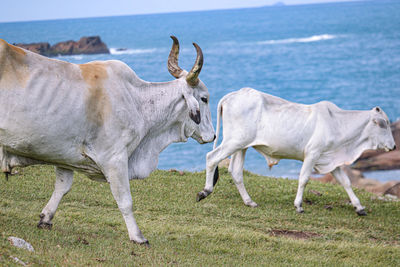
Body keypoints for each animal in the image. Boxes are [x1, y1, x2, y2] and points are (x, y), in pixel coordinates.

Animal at [0, 36, 216, 246]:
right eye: (204, 98)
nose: (213, 136)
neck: (137, 102)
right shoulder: (115, 159)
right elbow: (125, 201)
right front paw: (138, 237)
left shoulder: (64, 156)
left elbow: (62, 188)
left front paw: (45, 218)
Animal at [195, 88, 396, 216]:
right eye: (384, 124)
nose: (394, 147)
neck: (338, 124)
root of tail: (233, 95)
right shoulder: (312, 154)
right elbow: (304, 179)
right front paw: (299, 206)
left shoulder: (330, 160)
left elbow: (346, 182)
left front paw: (359, 207)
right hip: (233, 141)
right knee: (211, 158)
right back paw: (205, 191)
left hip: (241, 145)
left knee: (235, 172)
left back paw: (249, 201)